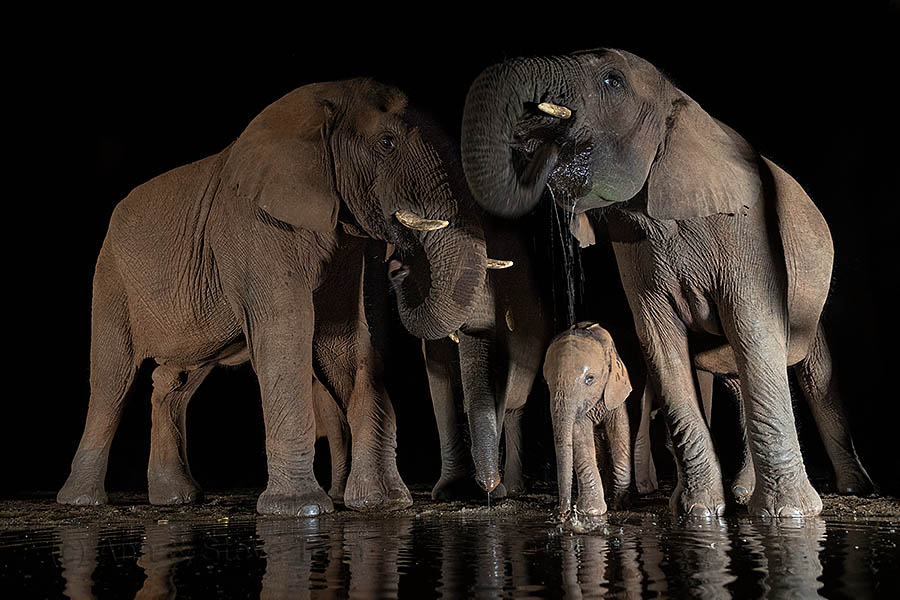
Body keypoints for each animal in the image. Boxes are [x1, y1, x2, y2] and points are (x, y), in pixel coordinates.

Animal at [57, 78, 488, 516]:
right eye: (387, 143)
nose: (398, 269)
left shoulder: (351, 243)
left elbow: (346, 339)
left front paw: (382, 503)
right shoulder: (253, 225)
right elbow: (287, 327)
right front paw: (300, 509)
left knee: (174, 381)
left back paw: (175, 499)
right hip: (111, 278)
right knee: (112, 380)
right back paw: (82, 502)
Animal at [391, 215, 551, 499]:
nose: (397, 270)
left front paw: (494, 493)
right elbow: (438, 375)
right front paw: (449, 492)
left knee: (515, 410)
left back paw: (512, 488)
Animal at [543, 322, 633, 517]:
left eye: (590, 379)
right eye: (547, 382)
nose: (563, 513)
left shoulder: (616, 391)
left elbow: (619, 432)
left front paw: (619, 504)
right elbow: (580, 436)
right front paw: (592, 511)